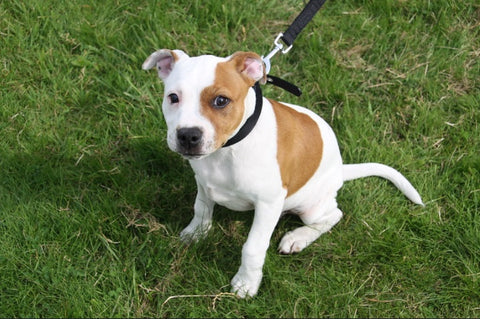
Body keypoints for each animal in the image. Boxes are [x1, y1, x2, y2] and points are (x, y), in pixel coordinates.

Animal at [142, 49, 424, 298]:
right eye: (173, 97)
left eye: (221, 101)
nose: (187, 136)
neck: (229, 149)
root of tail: (340, 169)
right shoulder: (203, 182)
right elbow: (201, 208)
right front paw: (196, 233)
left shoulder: (268, 204)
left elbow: (253, 248)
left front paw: (246, 284)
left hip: (311, 206)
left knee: (334, 215)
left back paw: (297, 238)